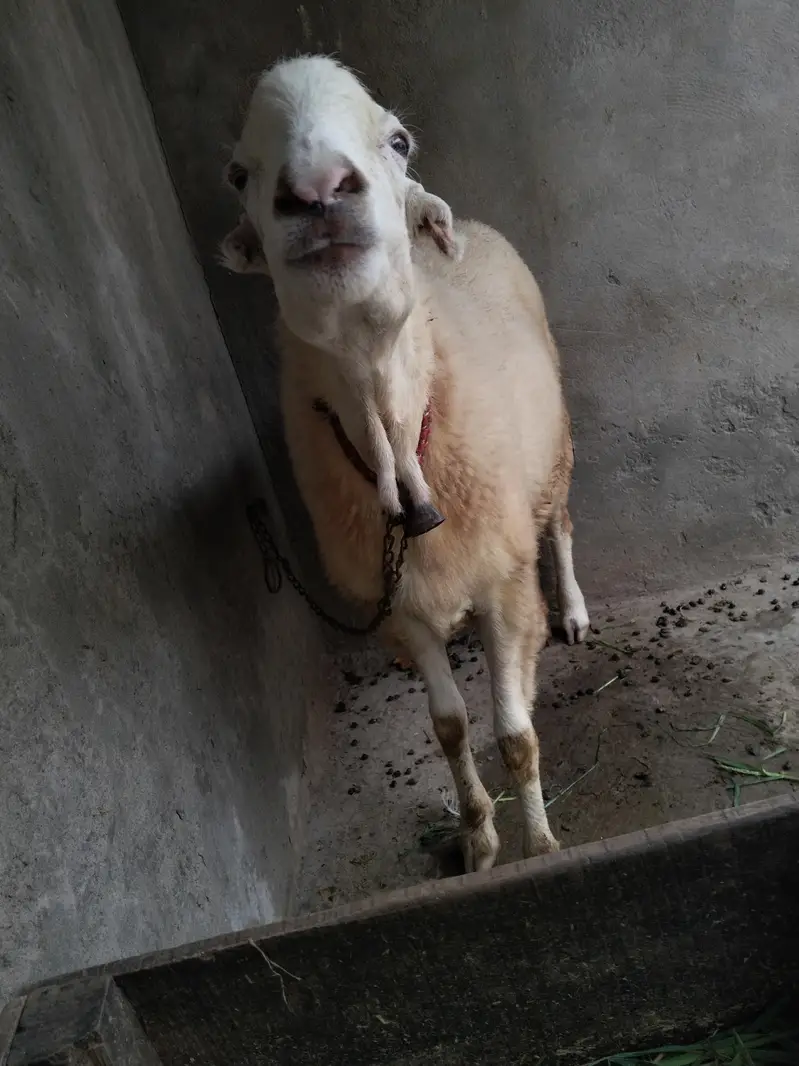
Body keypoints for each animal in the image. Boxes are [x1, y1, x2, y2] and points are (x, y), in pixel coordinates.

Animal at [221, 55, 590, 871]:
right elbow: (449, 727)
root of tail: (474, 225)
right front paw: (478, 837)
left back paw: (575, 611)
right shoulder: (402, 610)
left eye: (397, 140)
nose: (318, 190)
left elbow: (514, 737)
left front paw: (539, 842)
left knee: (560, 525)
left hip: (552, 452)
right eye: (238, 173)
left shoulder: (503, 583)